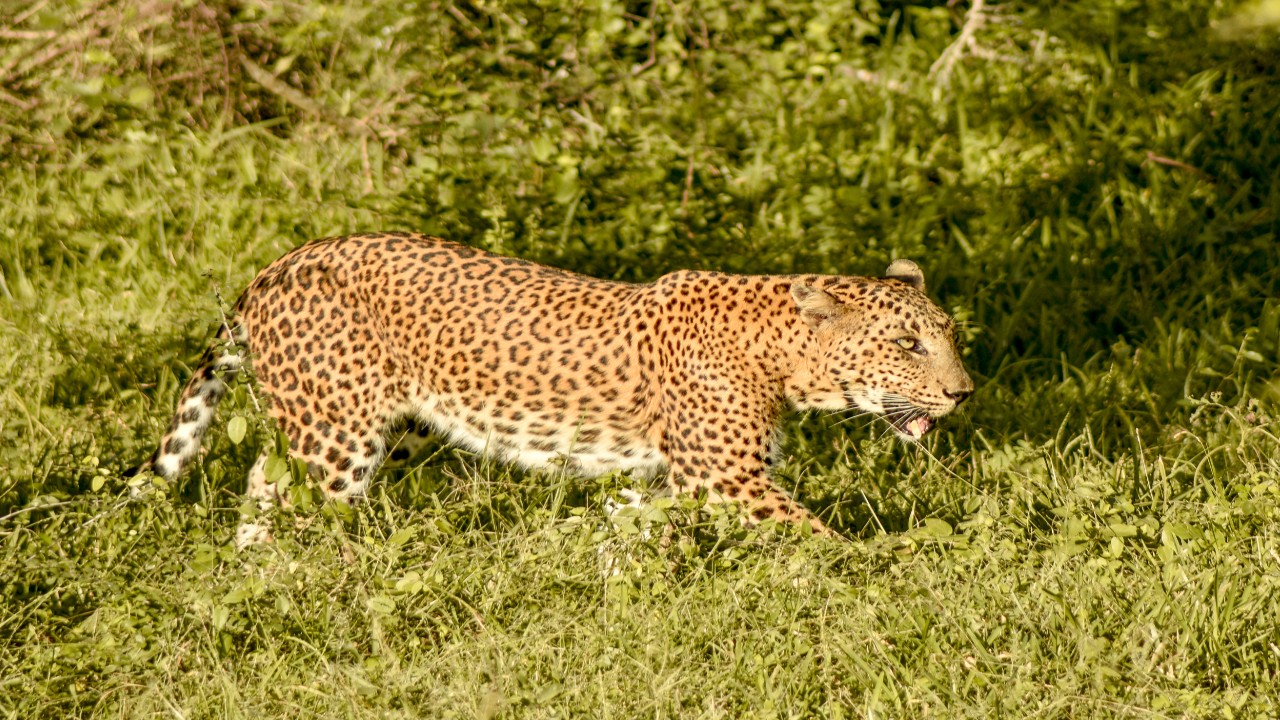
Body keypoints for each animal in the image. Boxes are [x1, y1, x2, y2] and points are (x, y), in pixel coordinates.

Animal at [131, 232, 973, 543]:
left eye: (950, 335)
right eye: (907, 344)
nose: (964, 394)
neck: (781, 358)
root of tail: (282, 261)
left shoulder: (669, 480)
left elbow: (631, 530)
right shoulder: (726, 479)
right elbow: (820, 540)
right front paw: (884, 575)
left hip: (393, 428)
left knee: (263, 481)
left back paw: (254, 570)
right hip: (338, 436)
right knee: (302, 502)